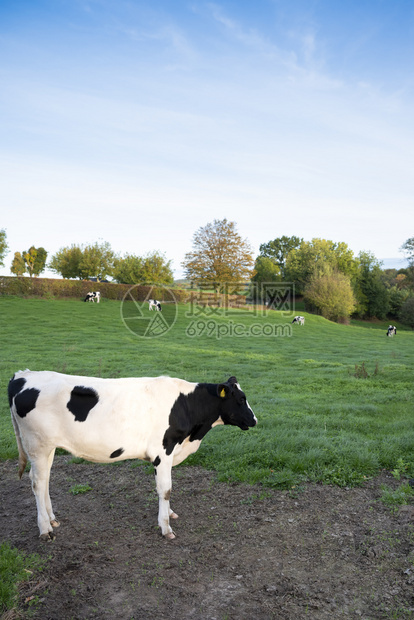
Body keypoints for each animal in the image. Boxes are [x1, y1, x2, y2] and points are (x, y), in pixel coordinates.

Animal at [8, 370, 258, 540]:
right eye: (240, 399)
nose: (255, 420)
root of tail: (23, 375)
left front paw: (170, 514)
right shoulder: (163, 452)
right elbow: (165, 489)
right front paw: (166, 527)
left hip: (47, 448)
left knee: (44, 480)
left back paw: (52, 519)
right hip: (38, 445)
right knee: (37, 483)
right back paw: (45, 529)